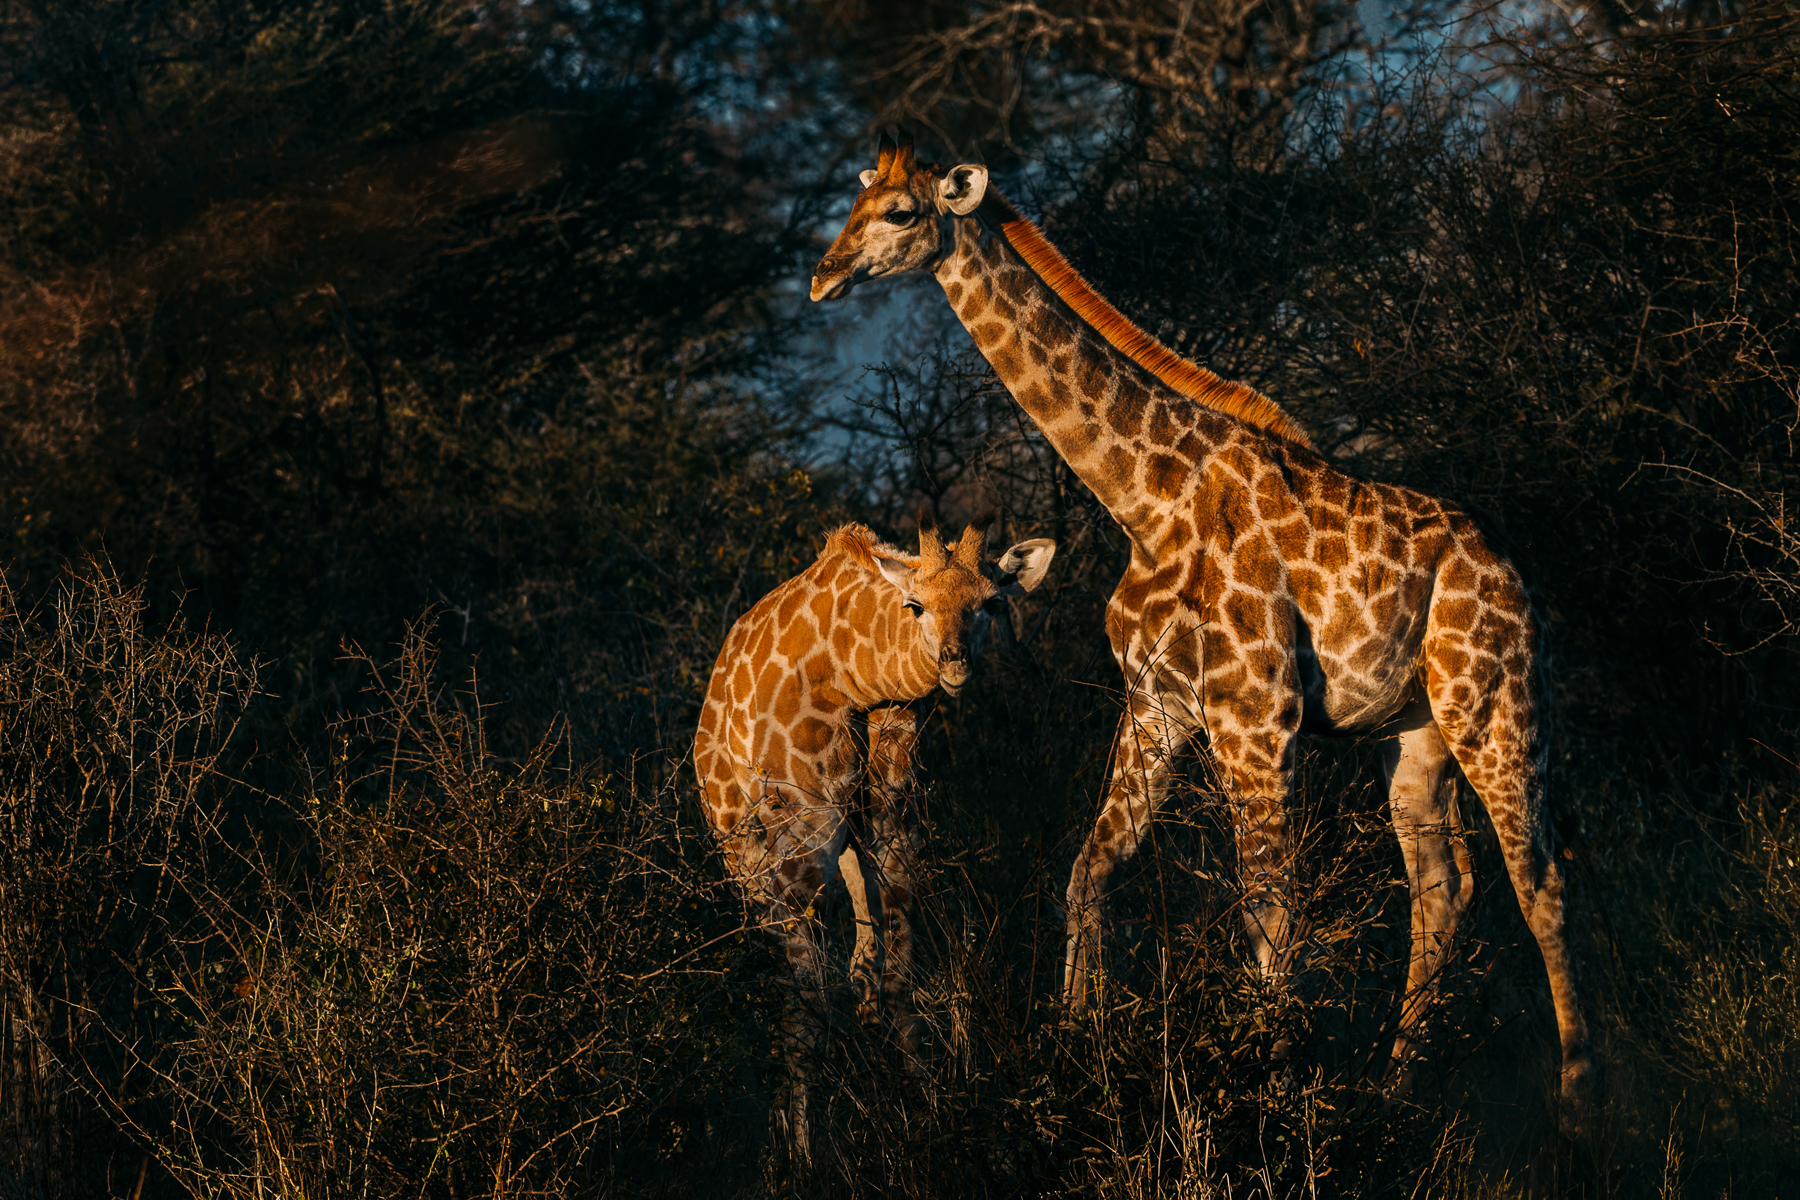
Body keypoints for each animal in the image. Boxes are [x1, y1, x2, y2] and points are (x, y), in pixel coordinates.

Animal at [693, 512, 1056, 1162]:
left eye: (992, 603)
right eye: (915, 605)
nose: (954, 663)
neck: (855, 678)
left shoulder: (893, 822)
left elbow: (893, 980)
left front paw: (929, 1121)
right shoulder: (801, 843)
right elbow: (809, 1005)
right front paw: (803, 1159)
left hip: (838, 851)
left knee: (857, 965)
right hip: (742, 848)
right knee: (785, 983)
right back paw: (782, 1138)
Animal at [809, 130, 1595, 1129]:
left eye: (901, 212)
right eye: (853, 202)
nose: (824, 276)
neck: (1146, 501)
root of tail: (1516, 579)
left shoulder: (1255, 718)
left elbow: (1270, 908)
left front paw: (1273, 1091)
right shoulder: (1158, 706)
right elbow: (1089, 871)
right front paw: (1079, 1059)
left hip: (1493, 704)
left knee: (1540, 883)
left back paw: (1579, 1106)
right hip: (1414, 732)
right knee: (1442, 889)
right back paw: (1394, 1085)